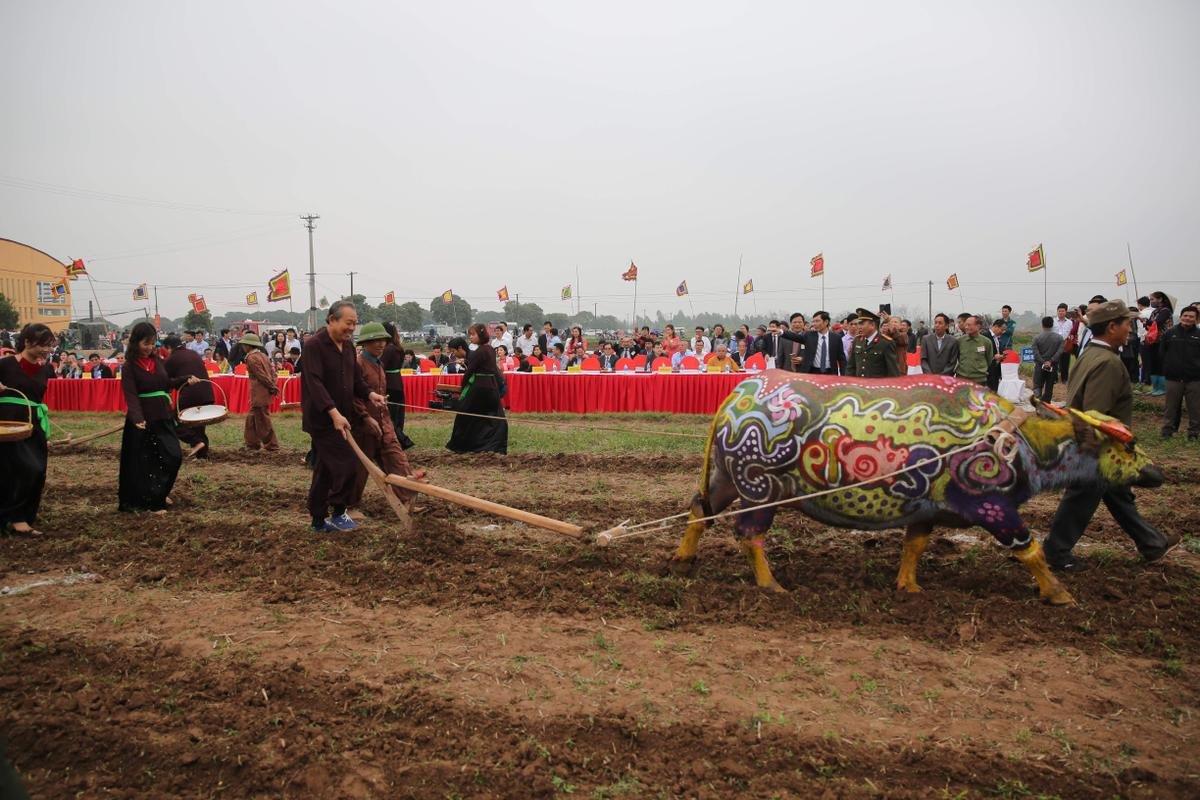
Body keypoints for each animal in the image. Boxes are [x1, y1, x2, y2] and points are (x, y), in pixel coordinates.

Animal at [672, 371, 1156, 604]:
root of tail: (738, 396)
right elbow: (1029, 549)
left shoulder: (925, 510)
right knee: (748, 533)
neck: (1016, 441)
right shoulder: (992, 507)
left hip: (725, 480)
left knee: (699, 510)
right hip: (761, 491)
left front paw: (909, 587)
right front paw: (1058, 593)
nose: (1156, 473)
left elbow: (915, 546)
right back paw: (771, 585)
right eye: (1127, 446)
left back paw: (682, 559)